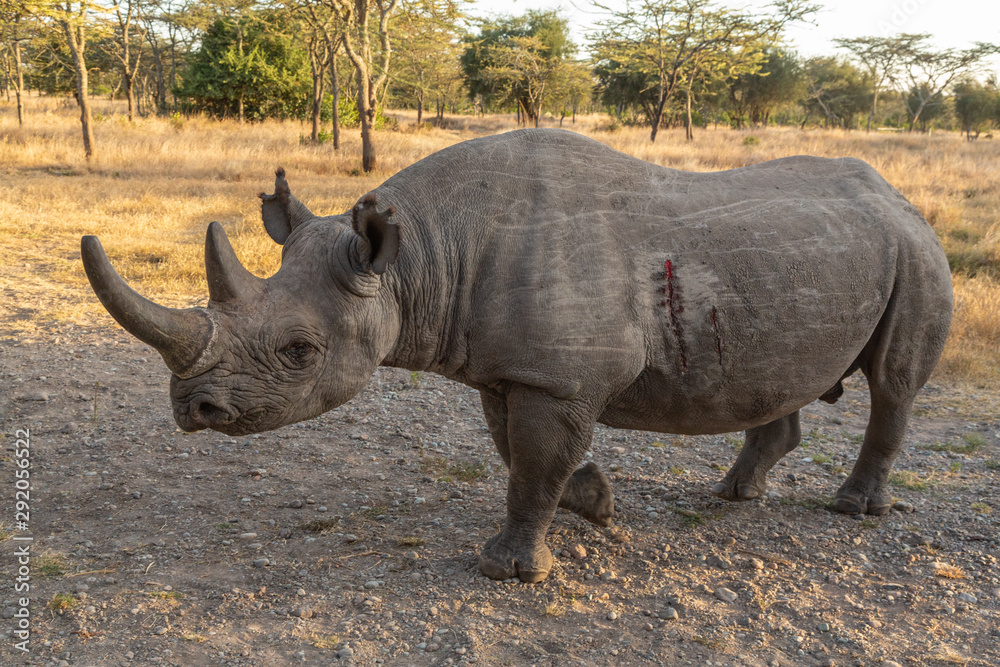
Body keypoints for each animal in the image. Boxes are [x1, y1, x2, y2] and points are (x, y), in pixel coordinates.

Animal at [82, 129, 952, 583]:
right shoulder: (513, 370)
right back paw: (735, 492)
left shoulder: (554, 377)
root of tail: (901, 195)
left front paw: (508, 569)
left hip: (915, 249)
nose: (191, 409)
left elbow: (531, 464)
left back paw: (852, 510)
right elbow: (517, 453)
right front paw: (596, 502)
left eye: (300, 351)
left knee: (894, 385)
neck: (418, 255)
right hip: (816, 259)